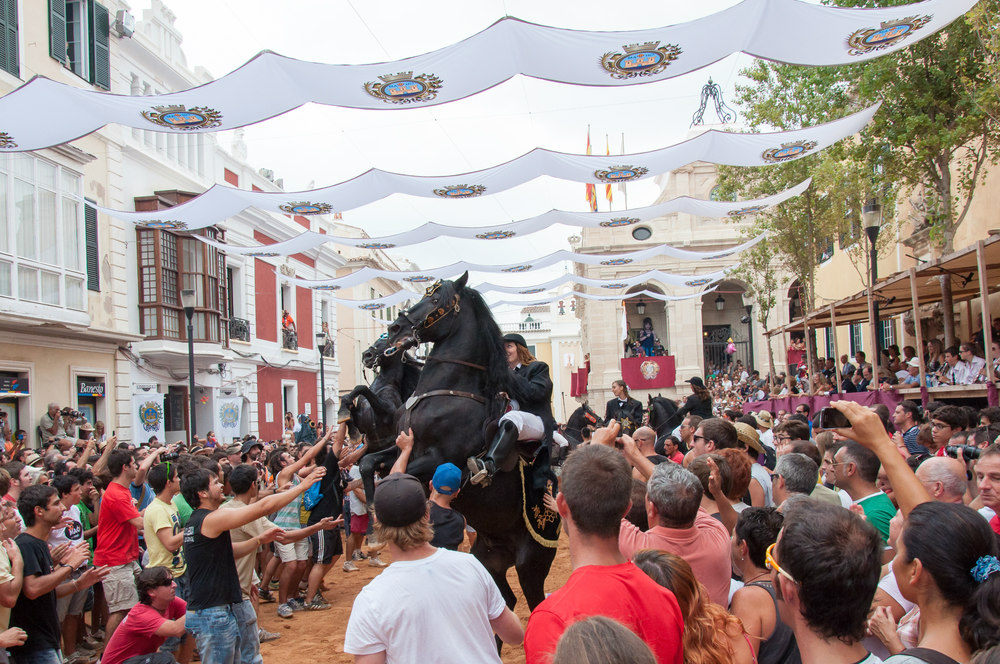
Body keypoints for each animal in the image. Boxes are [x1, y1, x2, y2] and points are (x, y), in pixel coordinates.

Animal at [384, 274, 560, 612]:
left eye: (435, 299)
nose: (395, 329)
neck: (447, 390)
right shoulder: (400, 447)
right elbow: (372, 464)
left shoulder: (438, 459)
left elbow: (397, 476)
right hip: (489, 559)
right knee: (505, 598)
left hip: (531, 562)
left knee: (534, 600)